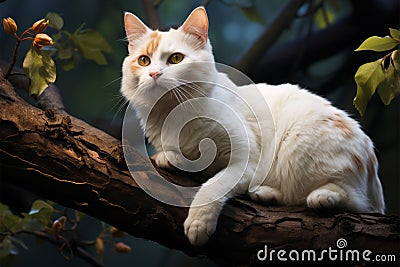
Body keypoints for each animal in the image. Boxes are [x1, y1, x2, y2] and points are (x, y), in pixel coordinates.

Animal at [121, 6, 384, 247]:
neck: (172, 113)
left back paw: (321, 197)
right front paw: (168, 157)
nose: (154, 73)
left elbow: (212, 186)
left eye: (175, 58)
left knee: (354, 201)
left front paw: (198, 223)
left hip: (300, 147)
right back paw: (265, 193)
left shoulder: (245, 160)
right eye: (144, 61)